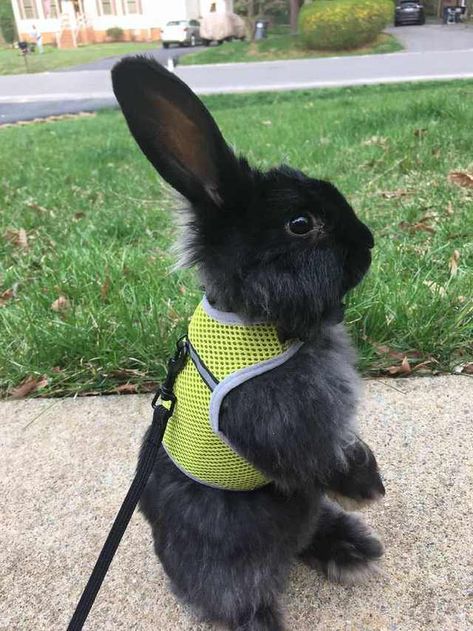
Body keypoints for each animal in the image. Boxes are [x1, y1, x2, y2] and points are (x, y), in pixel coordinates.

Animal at [112, 56, 386, 628]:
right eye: (301, 224)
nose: (370, 242)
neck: (260, 322)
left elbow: (342, 445)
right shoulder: (288, 430)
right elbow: (319, 460)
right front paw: (367, 488)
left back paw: (352, 549)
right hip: (231, 560)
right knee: (238, 599)